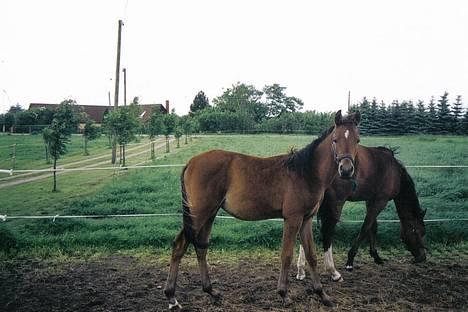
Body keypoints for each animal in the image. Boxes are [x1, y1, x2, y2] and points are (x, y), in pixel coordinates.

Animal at [165, 111, 362, 308]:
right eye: (335, 139)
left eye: (357, 140)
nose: (346, 169)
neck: (305, 173)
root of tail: (191, 162)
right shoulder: (293, 219)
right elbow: (286, 255)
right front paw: (283, 294)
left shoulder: (306, 219)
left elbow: (311, 255)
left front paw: (322, 295)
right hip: (199, 214)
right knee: (180, 245)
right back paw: (172, 298)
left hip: (209, 215)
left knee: (201, 248)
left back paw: (211, 291)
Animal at [296, 147, 428, 282]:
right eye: (420, 231)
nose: (422, 257)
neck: (396, 173)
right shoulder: (380, 201)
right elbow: (366, 227)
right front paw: (350, 260)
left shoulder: (371, 200)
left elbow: (373, 227)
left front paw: (376, 256)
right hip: (336, 203)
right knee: (327, 232)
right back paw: (333, 272)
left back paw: (301, 271)